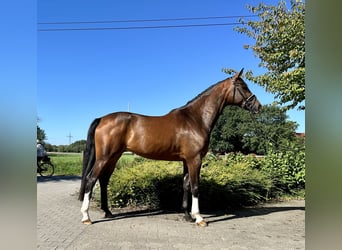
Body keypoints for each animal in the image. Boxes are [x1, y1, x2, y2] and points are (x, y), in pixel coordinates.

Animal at [79, 69, 262, 227]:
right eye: (244, 87)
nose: (258, 107)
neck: (196, 119)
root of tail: (102, 118)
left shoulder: (186, 160)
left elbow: (186, 184)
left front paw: (188, 215)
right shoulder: (195, 159)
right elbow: (196, 186)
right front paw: (199, 218)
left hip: (113, 157)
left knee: (103, 180)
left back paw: (108, 212)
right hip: (104, 158)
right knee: (90, 179)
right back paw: (86, 216)